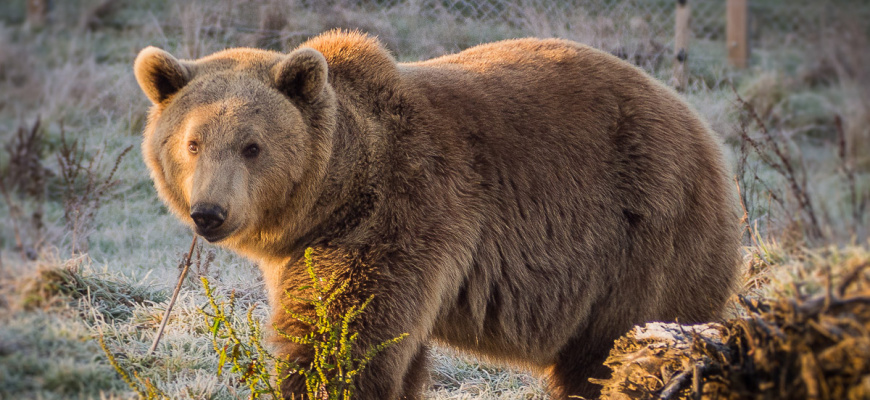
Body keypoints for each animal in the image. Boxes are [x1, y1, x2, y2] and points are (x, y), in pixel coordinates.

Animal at [135, 29, 744, 398]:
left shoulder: (402, 213)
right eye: (193, 143)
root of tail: (704, 132)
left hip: (643, 241)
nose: (209, 213)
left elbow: (344, 338)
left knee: (617, 354)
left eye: (252, 146)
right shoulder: (313, 250)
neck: (338, 189)